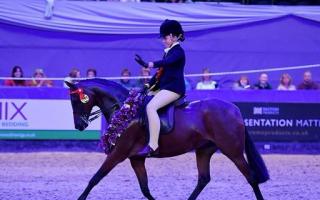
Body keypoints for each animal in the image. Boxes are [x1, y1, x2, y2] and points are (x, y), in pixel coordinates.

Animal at [65, 79, 270, 200]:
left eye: (76, 100)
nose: (79, 125)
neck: (125, 109)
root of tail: (234, 109)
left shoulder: (118, 153)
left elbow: (95, 178)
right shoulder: (136, 159)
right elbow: (145, 188)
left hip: (232, 150)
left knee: (251, 177)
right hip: (204, 150)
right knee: (203, 179)